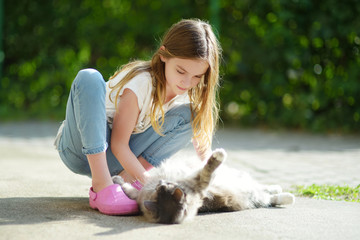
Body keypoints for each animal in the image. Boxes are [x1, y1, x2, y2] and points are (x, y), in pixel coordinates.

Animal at [112, 147, 296, 224]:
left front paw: (117, 180)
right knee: (271, 198)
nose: (161, 182)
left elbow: (130, 187)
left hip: (248, 185)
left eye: (164, 184)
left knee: (268, 192)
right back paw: (288, 197)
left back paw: (282, 191)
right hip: (254, 193)